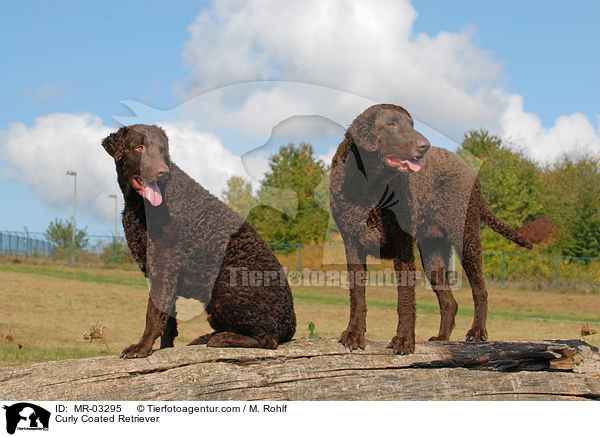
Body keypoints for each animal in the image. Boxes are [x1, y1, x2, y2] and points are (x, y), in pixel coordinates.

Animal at [330, 104, 532, 354]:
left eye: (412, 124)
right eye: (391, 124)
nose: (424, 146)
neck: (370, 189)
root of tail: (470, 171)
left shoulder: (402, 246)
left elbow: (405, 300)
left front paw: (404, 340)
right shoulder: (352, 245)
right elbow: (357, 296)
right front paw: (354, 333)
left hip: (466, 237)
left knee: (480, 291)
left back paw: (477, 332)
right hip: (433, 255)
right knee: (450, 303)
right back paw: (442, 338)